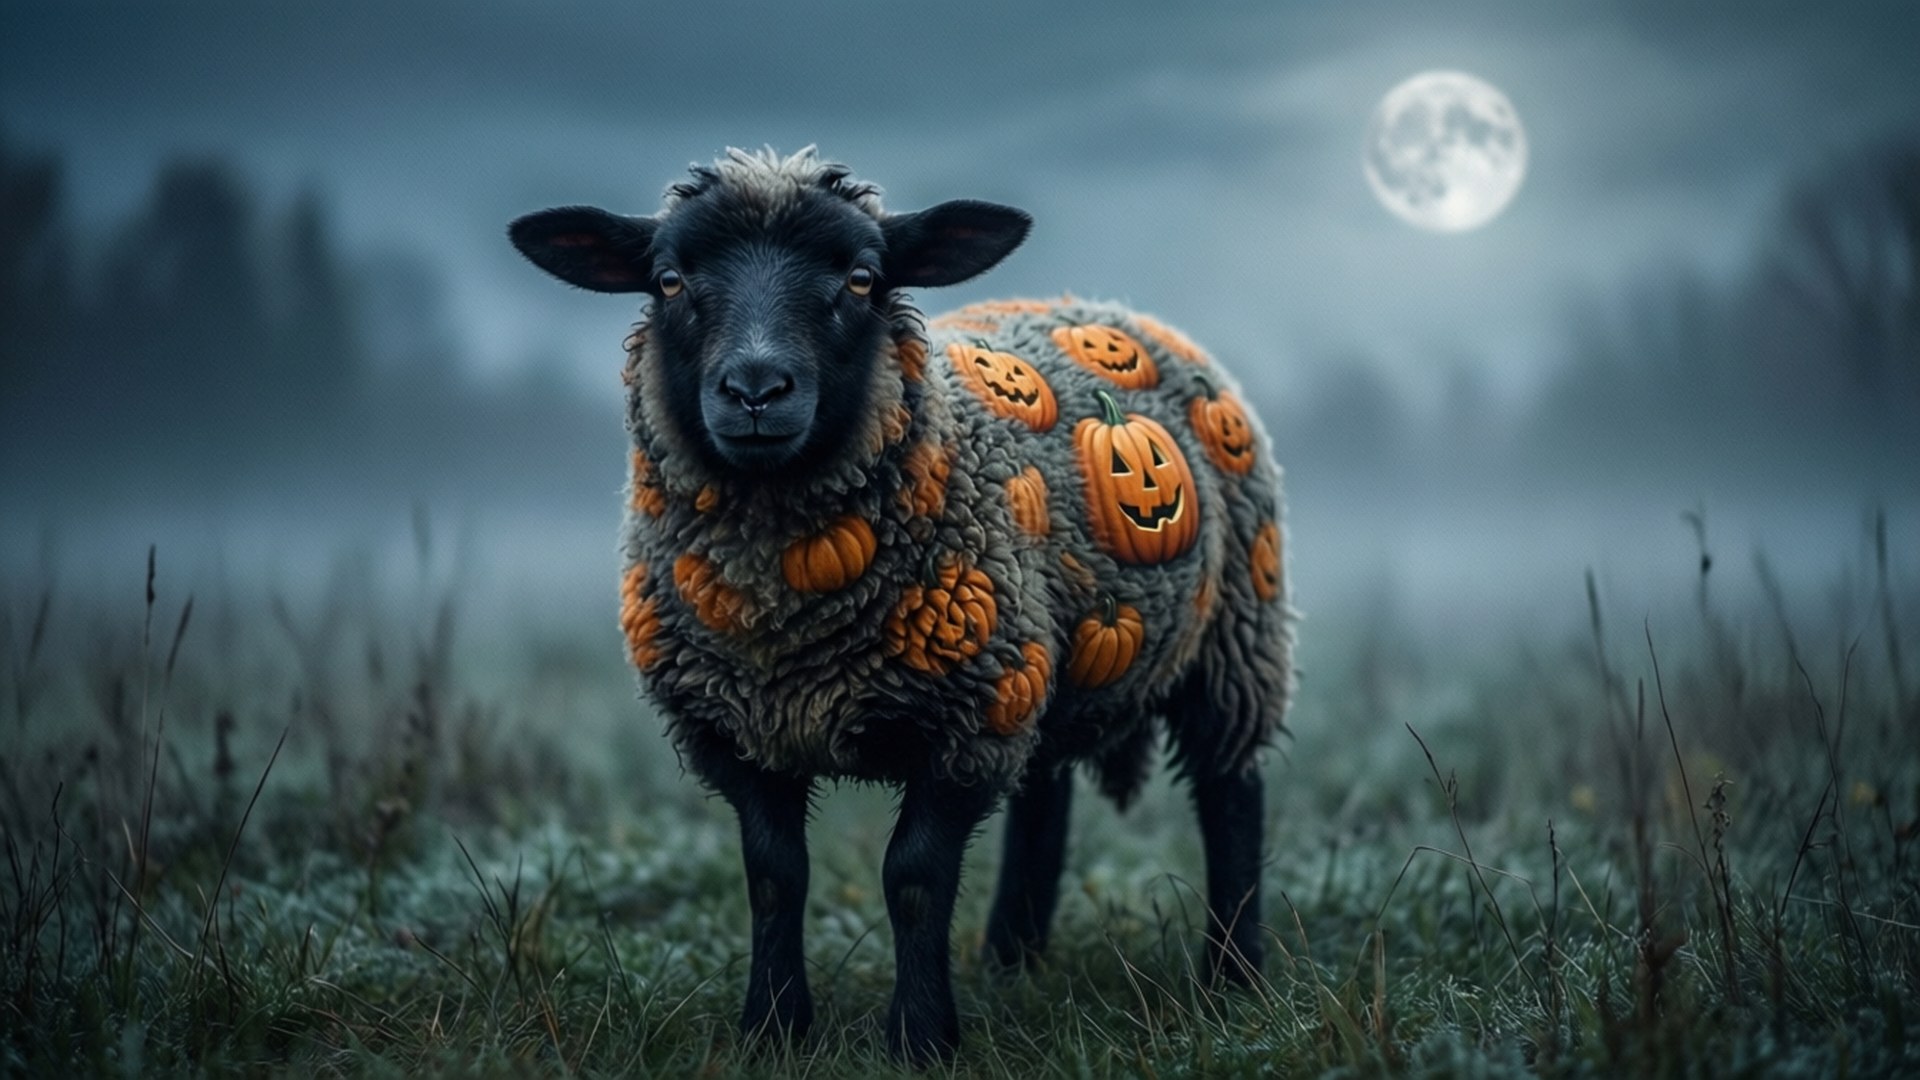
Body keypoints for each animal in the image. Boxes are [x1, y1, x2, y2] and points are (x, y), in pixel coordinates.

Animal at [508, 147, 1294, 1063]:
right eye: (669, 280)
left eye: (860, 278)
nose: (755, 389)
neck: (787, 612)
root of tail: (1100, 303)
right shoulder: (740, 731)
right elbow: (773, 877)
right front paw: (773, 1029)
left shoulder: (964, 721)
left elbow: (914, 878)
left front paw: (921, 1037)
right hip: (1039, 658)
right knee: (1045, 794)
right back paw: (1010, 961)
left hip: (1233, 633)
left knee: (1229, 791)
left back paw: (1231, 978)